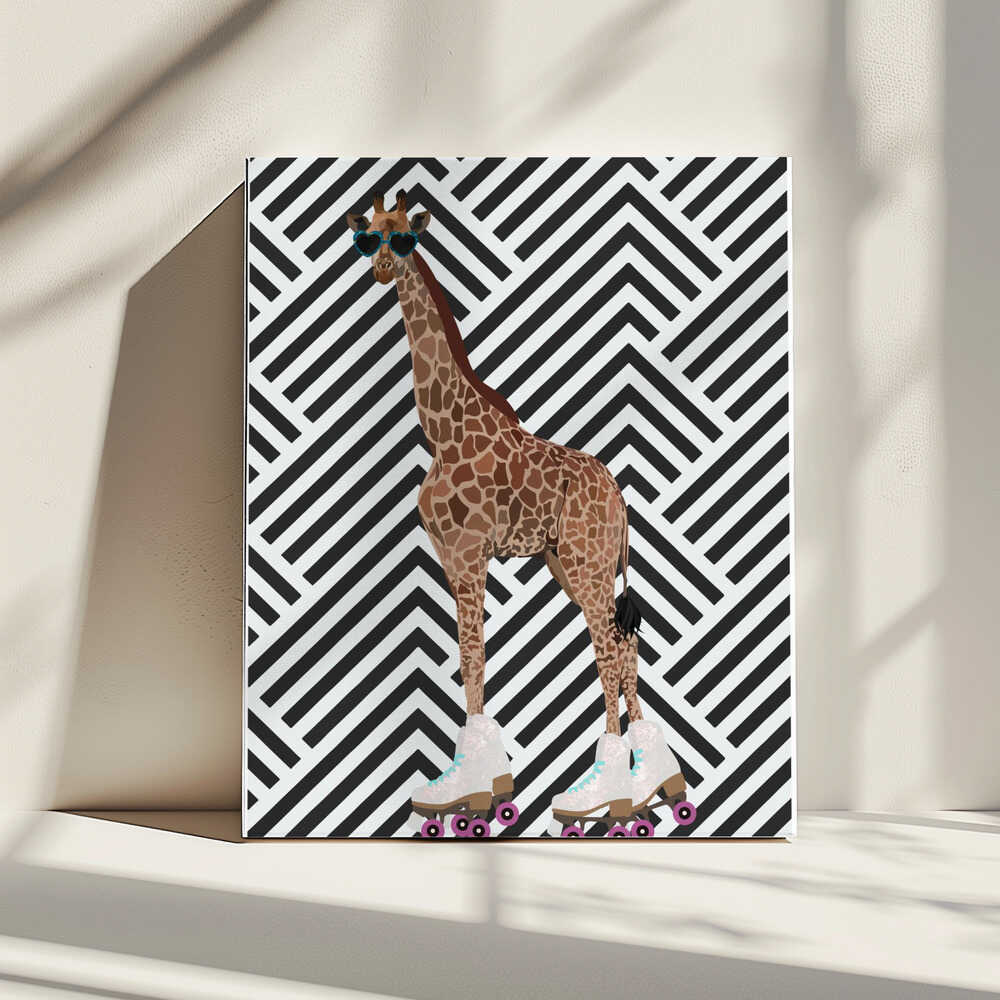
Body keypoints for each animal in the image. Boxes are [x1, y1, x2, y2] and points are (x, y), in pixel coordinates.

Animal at [347, 188, 690, 838]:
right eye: (368, 235)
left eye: (404, 236)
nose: (380, 269)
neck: (442, 432)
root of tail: (620, 495)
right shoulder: (449, 556)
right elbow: (468, 656)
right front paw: (475, 783)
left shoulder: (468, 552)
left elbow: (471, 655)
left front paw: (477, 794)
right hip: (571, 564)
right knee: (626, 645)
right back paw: (652, 786)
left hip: (586, 563)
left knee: (608, 650)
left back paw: (609, 796)